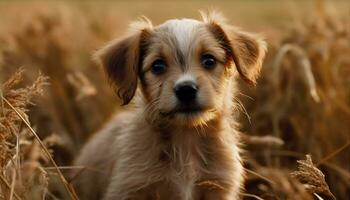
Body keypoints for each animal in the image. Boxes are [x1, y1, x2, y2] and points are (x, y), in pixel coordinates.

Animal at [73, 10, 266, 200]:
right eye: (157, 65)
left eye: (209, 60)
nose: (186, 89)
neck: (186, 141)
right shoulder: (129, 188)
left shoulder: (219, 187)